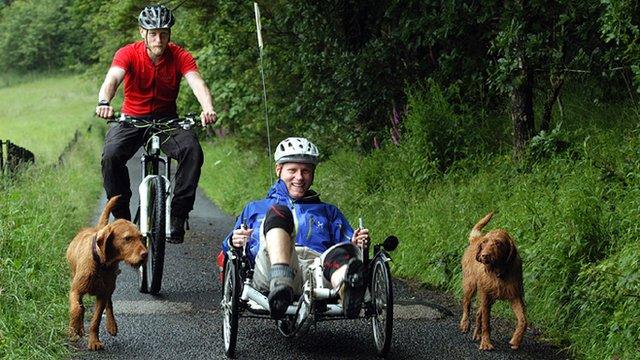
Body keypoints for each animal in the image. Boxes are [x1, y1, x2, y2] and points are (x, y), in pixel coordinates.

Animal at [67, 195, 148, 350]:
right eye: (127, 238)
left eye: (141, 237)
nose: (146, 254)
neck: (101, 264)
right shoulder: (75, 290)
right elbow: (77, 309)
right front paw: (74, 330)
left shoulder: (102, 295)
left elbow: (96, 320)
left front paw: (94, 341)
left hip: (111, 286)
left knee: (109, 303)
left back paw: (112, 325)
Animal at [458, 212, 528, 350]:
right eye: (485, 243)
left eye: (498, 243)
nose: (484, 256)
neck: (499, 272)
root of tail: (476, 239)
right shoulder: (486, 296)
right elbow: (486, 323)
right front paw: (486, 343)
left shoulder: (514, 295)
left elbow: (523, 320)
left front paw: (516, 340)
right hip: (471, 285)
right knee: (467, 304)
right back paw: (465, 324)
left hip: (491, 298)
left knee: (478, 313)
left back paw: (477, 334)